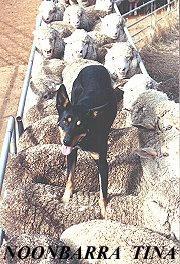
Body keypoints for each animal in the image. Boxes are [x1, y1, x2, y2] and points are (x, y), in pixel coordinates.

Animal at [56, 64, 118, 217]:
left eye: (80, 125)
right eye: (65, 121)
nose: (66, 142)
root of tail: (94, 65)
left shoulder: (102, 162)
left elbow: (103, 191)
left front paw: (104, 212)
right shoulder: (71, 153)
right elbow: (69, 178)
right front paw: (66, 199)